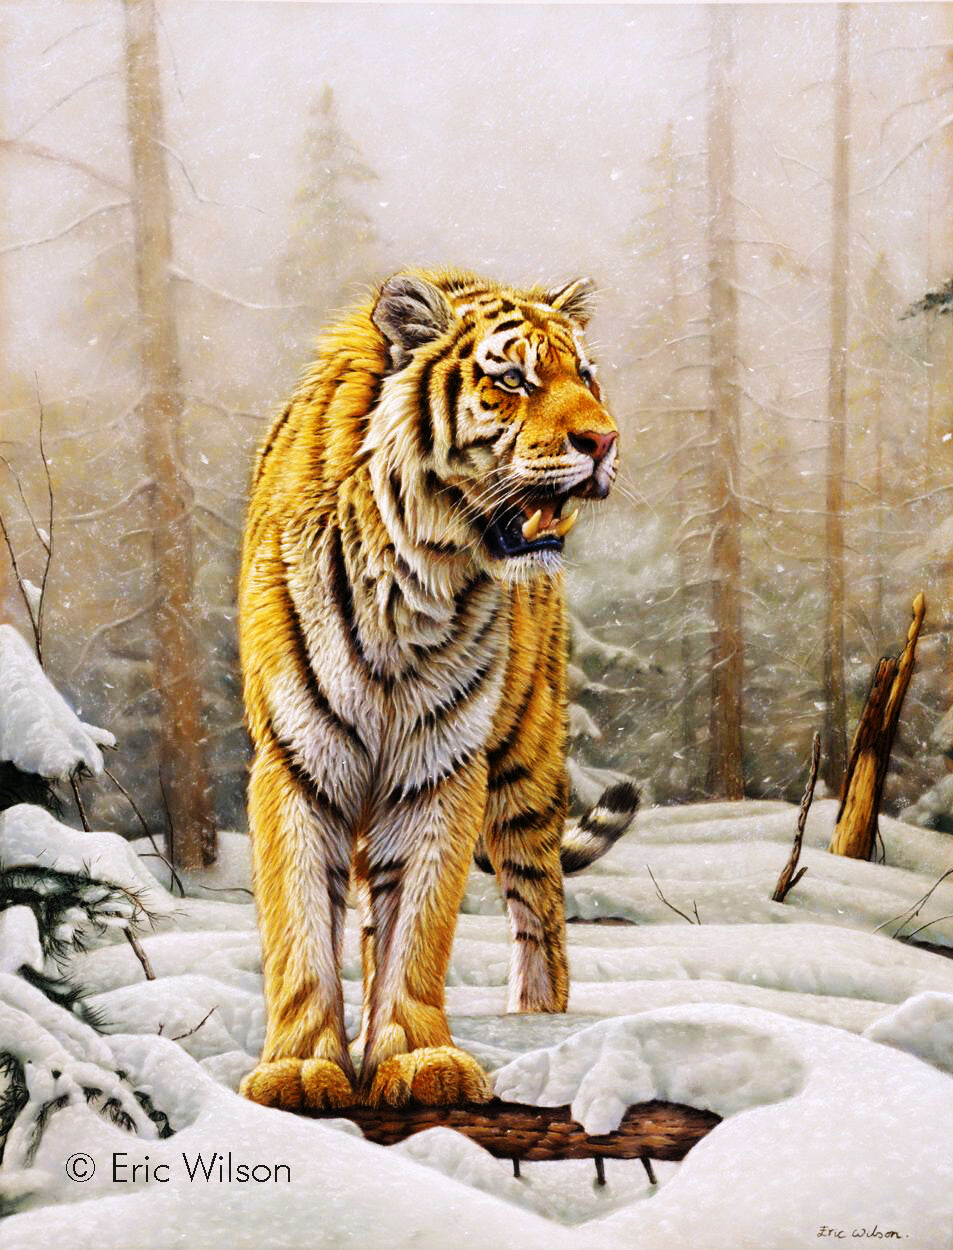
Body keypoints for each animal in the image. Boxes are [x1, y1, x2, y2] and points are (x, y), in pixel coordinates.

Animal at [238, 268, 639, 1112]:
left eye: (585, 376)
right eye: (511, 379)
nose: (603, 440)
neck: (416, 579)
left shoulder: (440, 765)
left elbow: (417, 924)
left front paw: (420, 1060)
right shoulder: (297, 760)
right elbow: (298, 924)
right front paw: (300, 1069)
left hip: (525, 765)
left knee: (540, 915)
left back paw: (540, 1020)